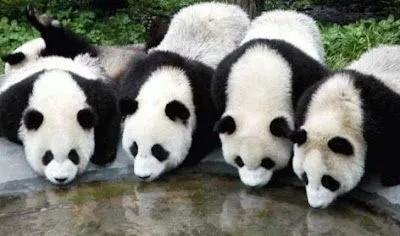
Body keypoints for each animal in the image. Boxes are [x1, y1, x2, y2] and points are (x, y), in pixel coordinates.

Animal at [0, 6, 121, 184]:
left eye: (73, 155)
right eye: (47, 156)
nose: (61, 178)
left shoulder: (93, 93)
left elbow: (110, 113)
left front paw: (102, 155)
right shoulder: (15, 104)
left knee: (65, 39)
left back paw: (39, 19)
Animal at [119, 2, 250, 181]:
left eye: (158, 150)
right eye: (134, 147)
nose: (143, 176)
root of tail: (221, 5)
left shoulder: (204, 95)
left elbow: (208, 133)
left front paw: (188, 156)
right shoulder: (138, 75)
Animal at [211, 10, 326, 187]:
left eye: (267, 162)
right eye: (239, 161)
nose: (253, 185)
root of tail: (282, 12)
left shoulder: (301, 76)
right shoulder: (223, 80)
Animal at [292, 44, 400, 208]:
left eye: (328, 181)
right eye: (305, 177)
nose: (316, 205)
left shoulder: (382, 116)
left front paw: (391, 178)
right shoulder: (308, 102)